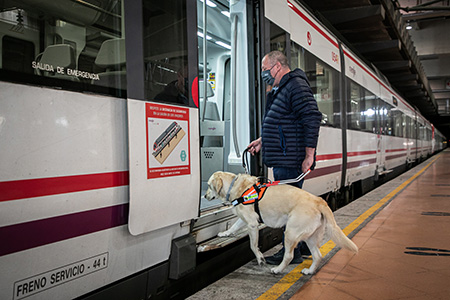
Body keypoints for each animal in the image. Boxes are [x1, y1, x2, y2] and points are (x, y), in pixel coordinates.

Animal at [205, 171, 358, 274]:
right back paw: (309, 271)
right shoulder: (245, 220)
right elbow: (234, 227)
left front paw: (260, 258)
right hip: (311, 237)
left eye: (209, 186)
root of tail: (319, 201)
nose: (205, 196)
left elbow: (253, 246)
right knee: (317, 256)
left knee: (289, 255)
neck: (235, 185)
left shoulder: (252, 224)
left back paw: (278, 269)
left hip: (290, 232)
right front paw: (225, 233)